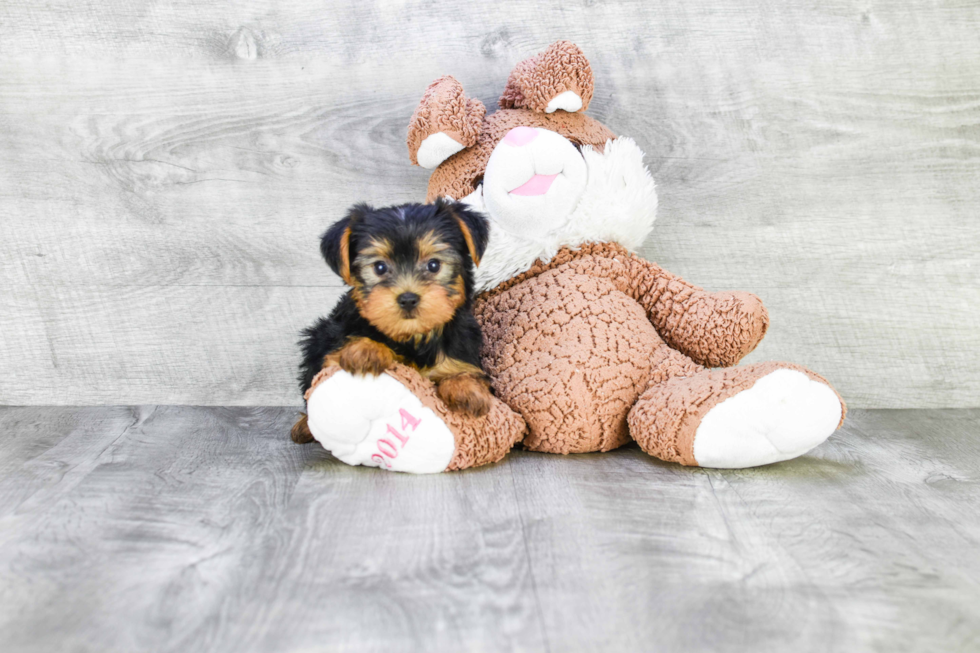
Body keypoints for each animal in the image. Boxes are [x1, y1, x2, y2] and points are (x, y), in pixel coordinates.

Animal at [290, 199, 490, 444]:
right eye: (380, 267)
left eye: (434, 265)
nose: (408, 298)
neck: (412, 337)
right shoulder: (332, 350)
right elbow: (333, 364)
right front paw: (367, 350)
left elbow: (465, 371)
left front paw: (467, 389)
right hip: (317, 337)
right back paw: (304, 426)